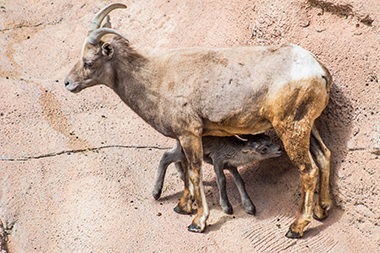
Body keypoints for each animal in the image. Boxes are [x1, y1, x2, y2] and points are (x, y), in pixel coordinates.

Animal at [65, 3, 332, 237]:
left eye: (89, 62)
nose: (67, 83)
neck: (153, 80)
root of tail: (318, 71)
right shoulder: (185, 137)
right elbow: (183, 167)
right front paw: (182, 207)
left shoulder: (189, 133)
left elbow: (194, 172)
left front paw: (197, 222)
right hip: (308, 126)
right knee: (324, 156)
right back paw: (322, 211)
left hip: (291, 128)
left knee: (308, 170)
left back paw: (296, 228)